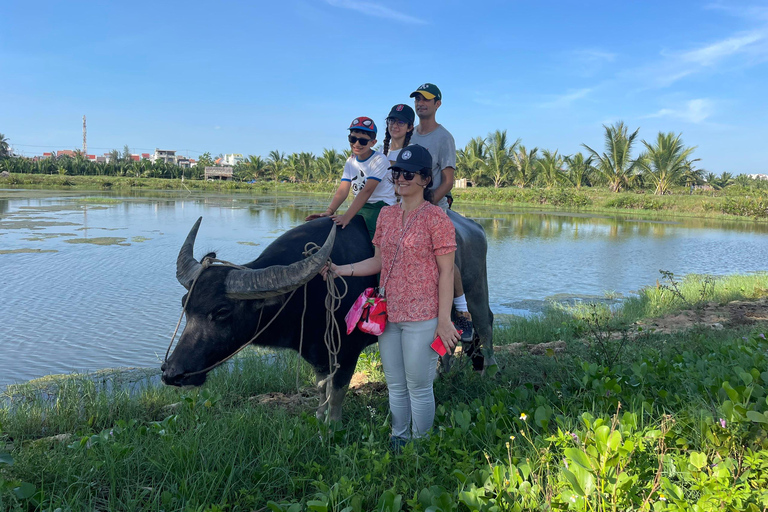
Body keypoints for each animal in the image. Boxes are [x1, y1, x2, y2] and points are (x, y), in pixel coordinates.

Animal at [164, 210, 492, 422]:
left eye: (221, 311)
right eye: (185, 305)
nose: (172, 373)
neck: (307, 292)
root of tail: (474, 228)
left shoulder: (348, 351)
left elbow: (338, 389)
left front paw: (332, 426)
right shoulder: (318, 352)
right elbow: (322, 388)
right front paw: (319, 420)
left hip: (477, 289)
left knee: (485, 323)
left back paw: (487, 372)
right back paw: (441, 373)